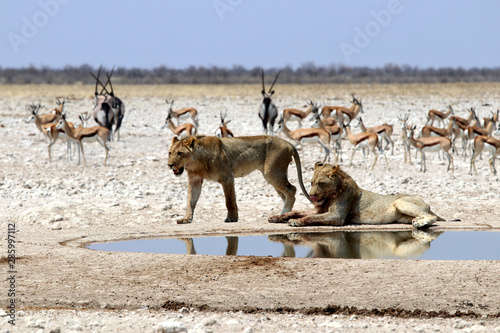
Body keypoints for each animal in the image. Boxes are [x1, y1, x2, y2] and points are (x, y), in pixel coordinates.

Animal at [167, 134, 312, 223]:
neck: (197, 162)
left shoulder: (227, 177)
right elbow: (190, 201)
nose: (170, 165)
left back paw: (280, 215)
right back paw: (281, 216)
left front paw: (231, 218)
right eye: (170, 153)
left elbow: (230, 201)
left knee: (292, 190)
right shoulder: (194, 181)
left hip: (272, 173)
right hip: (274, 176)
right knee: (287, 194)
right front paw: (186, 219)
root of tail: (288, 143)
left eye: (180, 153)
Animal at [270, 161, 446, 228]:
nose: (312, 196)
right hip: (402, 217)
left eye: (321, 183)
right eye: (311, 182)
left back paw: (421, 223)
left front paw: (296, 222)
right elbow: (296, 211)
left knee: (433, 216)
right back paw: (418, 221)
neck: (330, 196)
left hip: (400, 202)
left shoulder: (337, 216)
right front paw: (276, 217)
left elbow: (311, 218)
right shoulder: (319, 209)